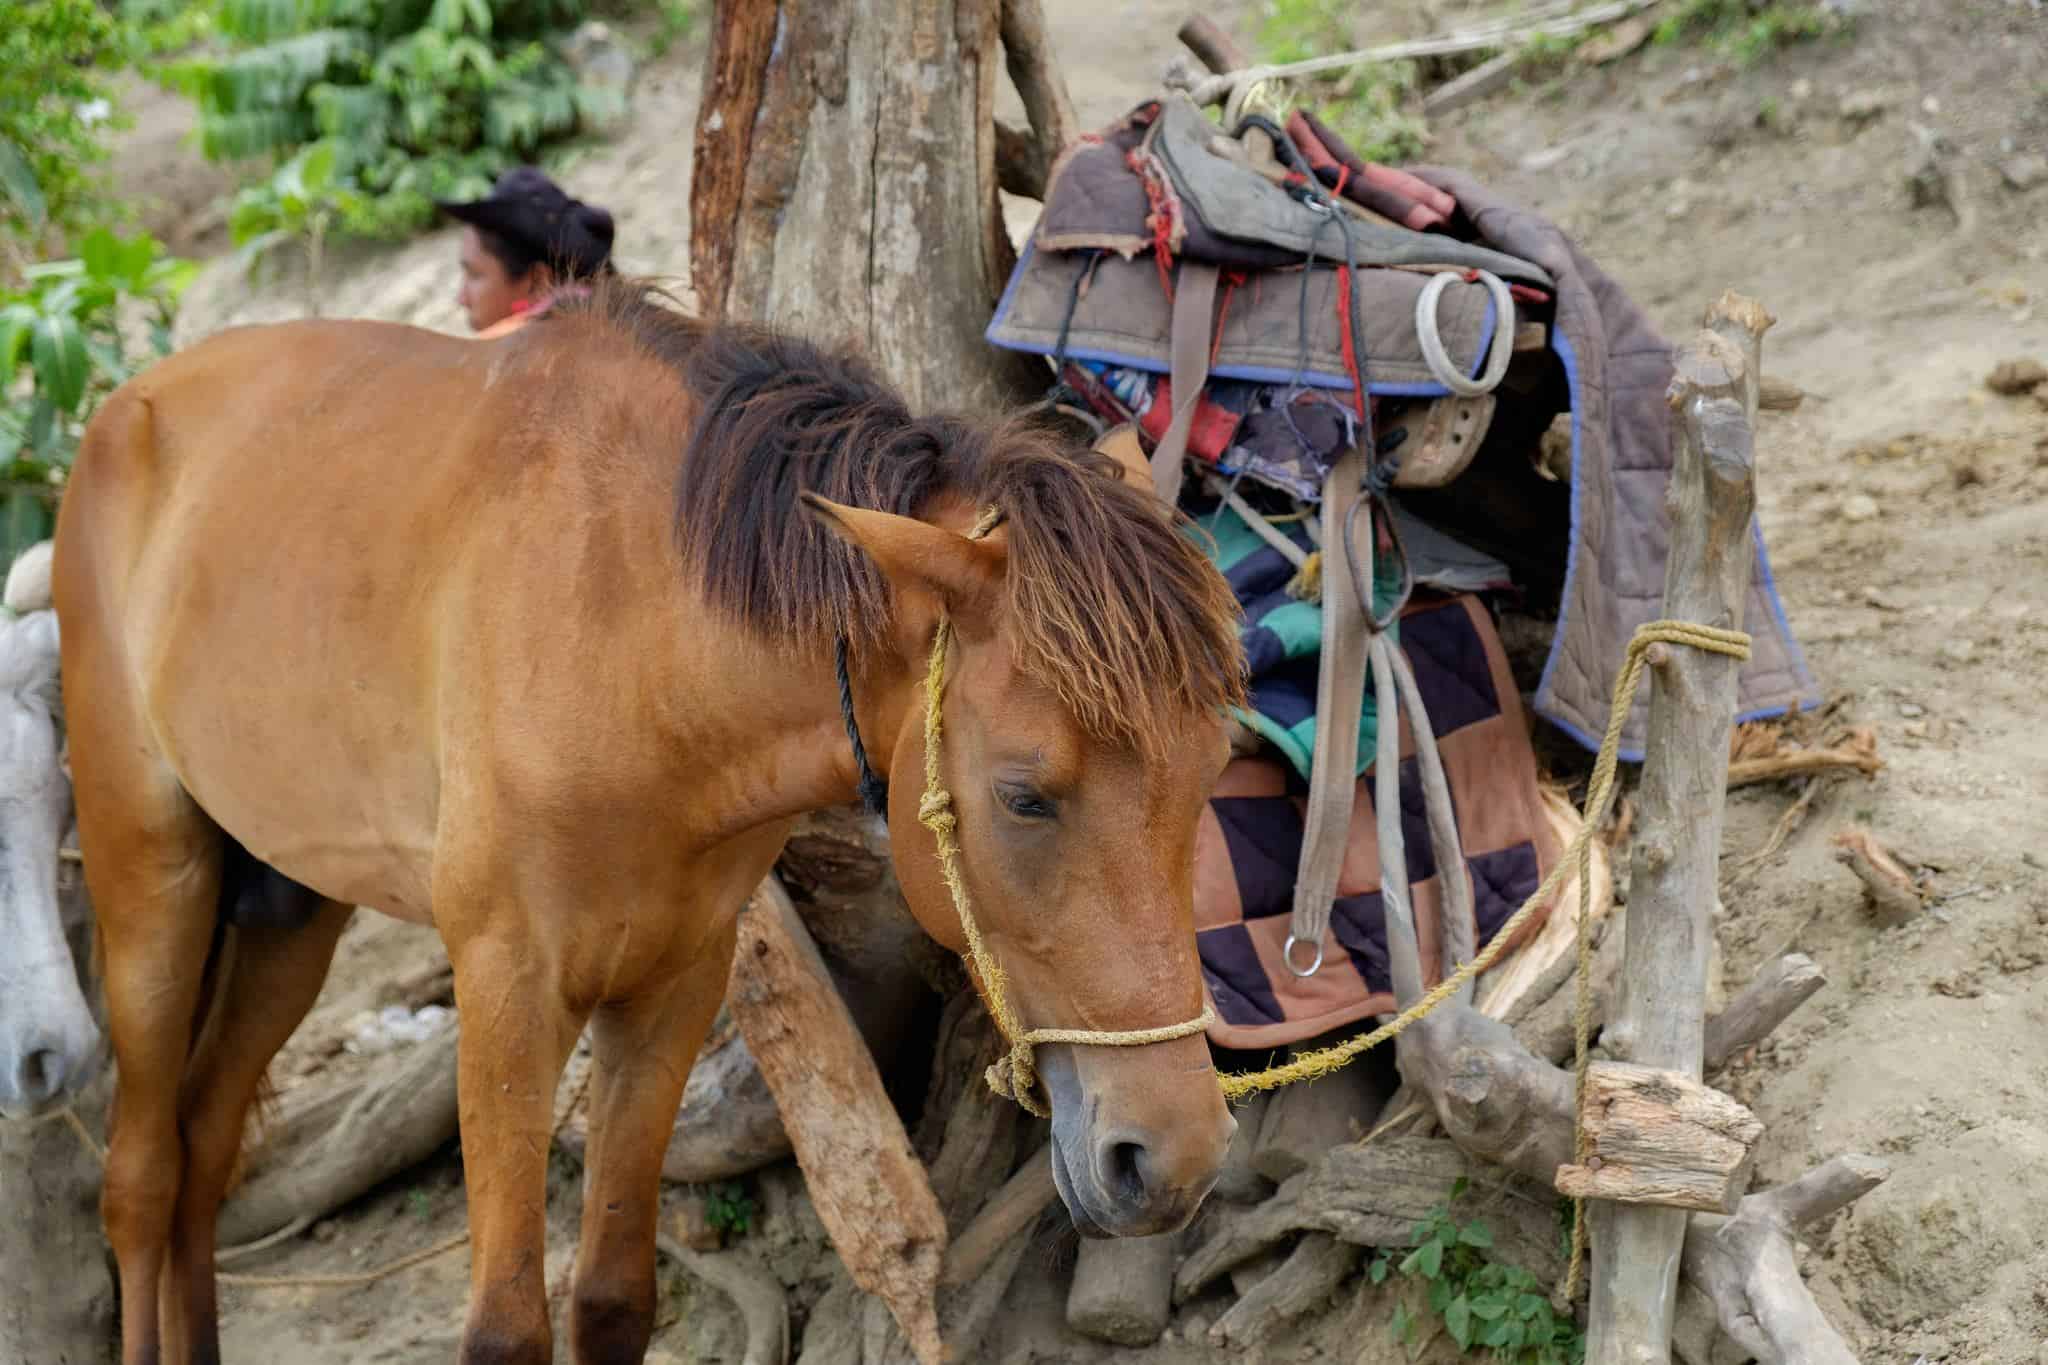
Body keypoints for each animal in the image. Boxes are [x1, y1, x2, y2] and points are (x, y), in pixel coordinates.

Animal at [53, 282, 1249, 1365]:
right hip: (150, 885)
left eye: (1209, 773)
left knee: (203, 1150)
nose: (1175, 1156)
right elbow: (506, 1330)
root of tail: (121, 414)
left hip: (289, 916)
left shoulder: (672, 986)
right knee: (140, 1180)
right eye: (1023, 795)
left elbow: (613, 1302)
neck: (627, 632)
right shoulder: (505, 994)